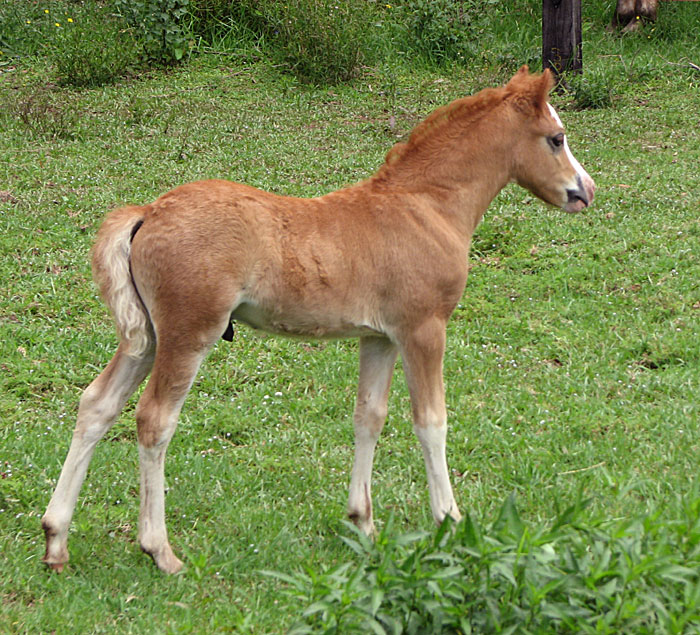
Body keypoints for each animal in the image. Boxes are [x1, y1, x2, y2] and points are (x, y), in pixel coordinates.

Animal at [41, 66, 595, 574]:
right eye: (557, 138)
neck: (426, 206)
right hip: (188, 334)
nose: (585, 191)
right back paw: (160, 550)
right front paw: (450, 521)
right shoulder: (423, 329)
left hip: (148, 337)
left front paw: (363, 524)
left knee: (97, 404)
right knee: (155, 419)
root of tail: (149, 211)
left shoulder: (380, 338)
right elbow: (431, 421)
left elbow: (368, 418)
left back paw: (55, 539)